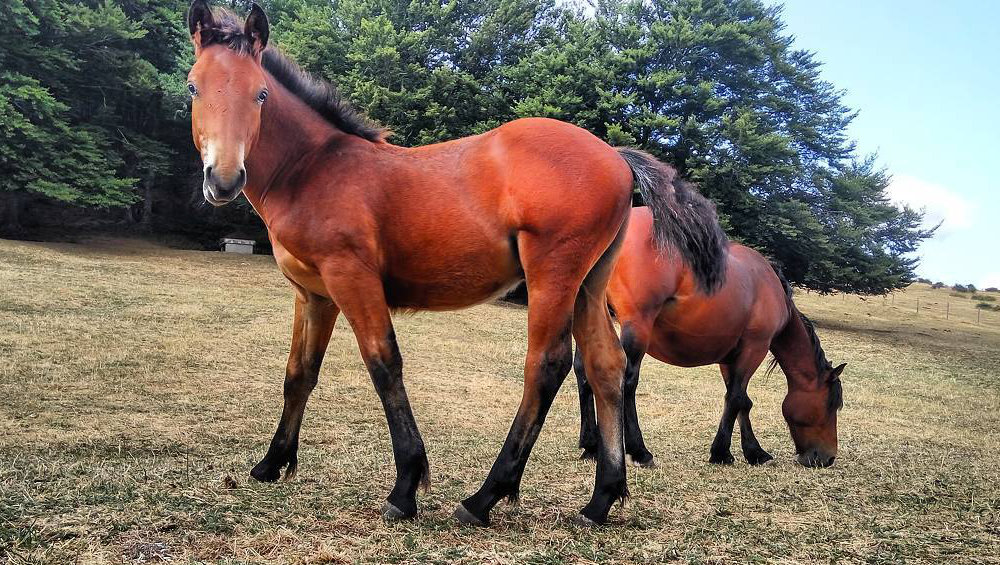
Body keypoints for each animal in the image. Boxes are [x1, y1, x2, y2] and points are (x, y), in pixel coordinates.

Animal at [184, 1, 727, 526]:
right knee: (606, 366)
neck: (314, 169)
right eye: (193, 87)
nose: (224, 179)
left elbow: (384, 364)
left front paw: (405, 487)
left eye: (260, 95)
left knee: (547, 366)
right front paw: (272, 463)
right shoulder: (314, 294)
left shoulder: (351, 278)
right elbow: (299, 372)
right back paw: (601, 499)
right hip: (588, 286)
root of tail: (615, 155)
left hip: (554, 276)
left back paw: (485, 497)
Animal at [575, 207, 844, 469]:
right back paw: (639, 451)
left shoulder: (730, 357)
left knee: (585, 373)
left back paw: (591, 446)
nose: (828, 458)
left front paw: (754, 452)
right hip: (637, 325)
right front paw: (721, 452)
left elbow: (742, 401)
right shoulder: (755, 348)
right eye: (833, 404)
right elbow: (735, 398)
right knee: (626, 381)